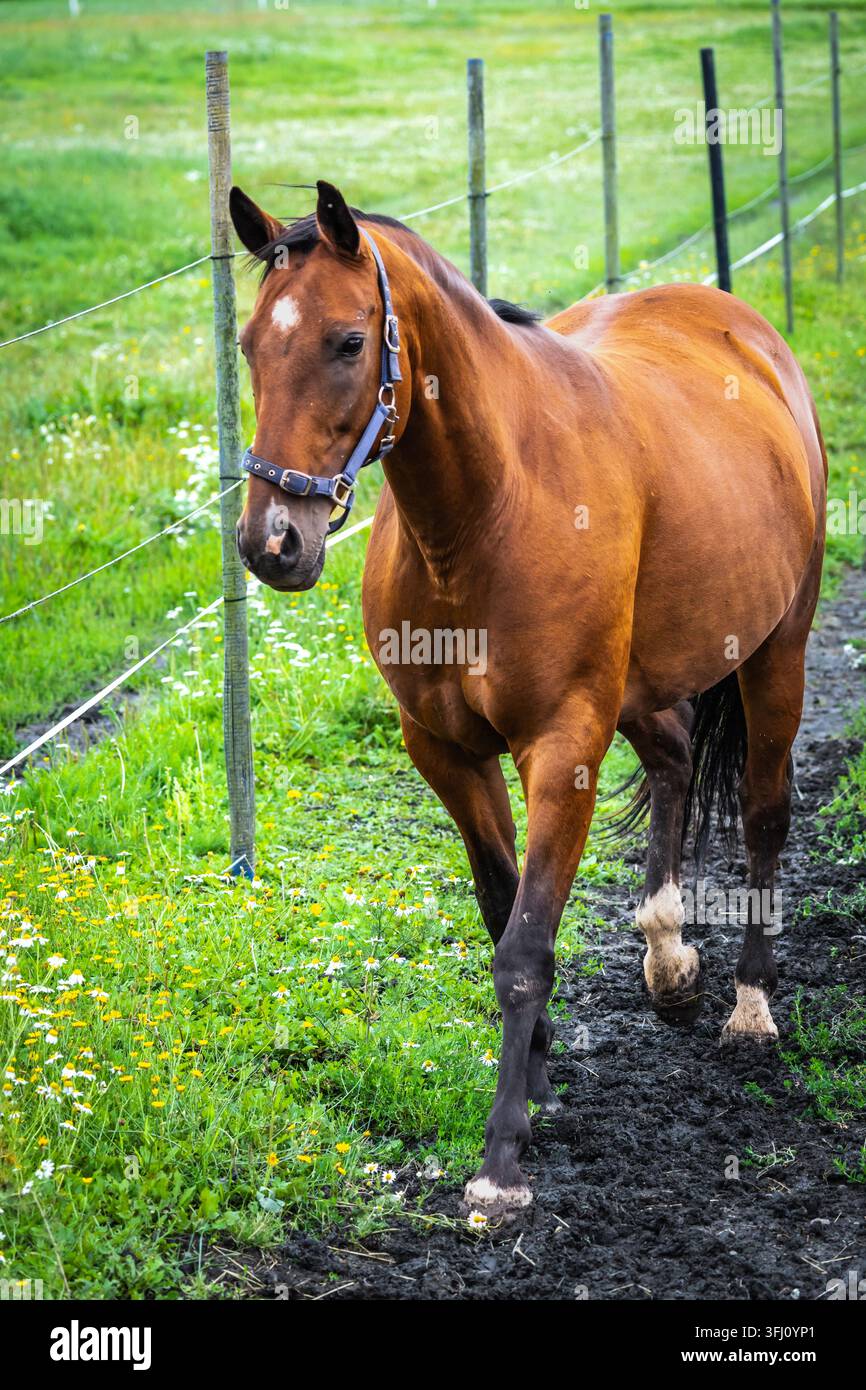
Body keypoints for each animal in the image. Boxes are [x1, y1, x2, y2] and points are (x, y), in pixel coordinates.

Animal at [229, 180, 826, 1213]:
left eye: (347, 341)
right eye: (247, 346)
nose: (273, 543)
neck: (487, 512)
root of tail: (742, 327)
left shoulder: (563, 748)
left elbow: (525, 947)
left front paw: (502, 1160)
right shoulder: (444, 750)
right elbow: (499, 908)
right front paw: (540, 1077)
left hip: (773, 653)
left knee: (762, 812)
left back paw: (750, 1006)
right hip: (643, 683)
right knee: (674, 760)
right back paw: (667, 955)